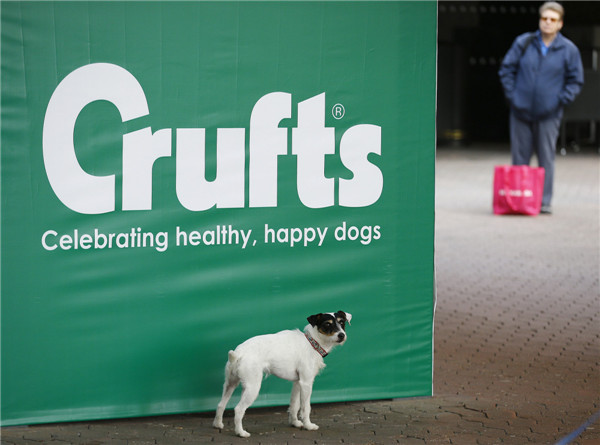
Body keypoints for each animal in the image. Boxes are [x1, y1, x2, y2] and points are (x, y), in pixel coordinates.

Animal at [213, 310, 352, 436]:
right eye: (327, 324)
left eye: (342, 322)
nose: (342, 335)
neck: (312, 342)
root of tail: (239, 353)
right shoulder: (306, 383)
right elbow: (305, 407)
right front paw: (308, 425)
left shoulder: (297, 383)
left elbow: (294, 405)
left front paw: (295, 423)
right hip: (253, 388)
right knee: (238, 409)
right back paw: (241, 432)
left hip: (231, 384)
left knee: (221, 404)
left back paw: (218, 424)